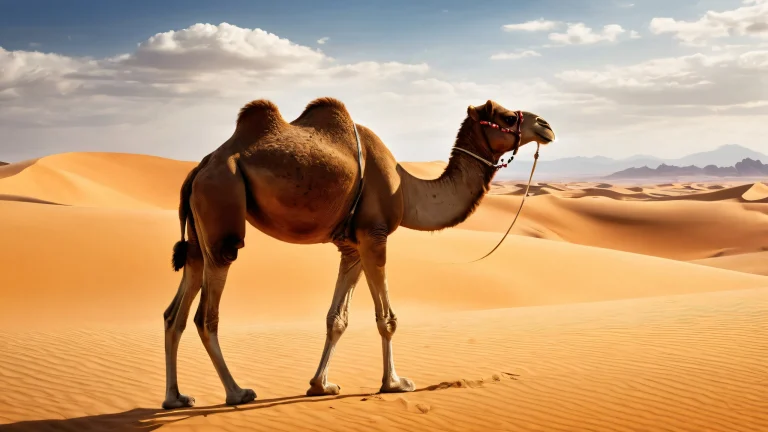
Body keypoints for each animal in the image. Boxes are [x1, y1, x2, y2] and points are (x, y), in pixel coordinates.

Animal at [161, 97, 555, 409]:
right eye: (507, 117)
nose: (546, 126)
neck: (408, 190)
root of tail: (200, 167)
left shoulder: (351, 246)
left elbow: (337, 319)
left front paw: (320, 386)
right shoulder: (374, 235)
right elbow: (387, 319)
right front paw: (394, 383)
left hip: (199, 230)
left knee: (175, 309)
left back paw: (175, 398)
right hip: (222, 205)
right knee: (205, 314)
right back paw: (237, 392)